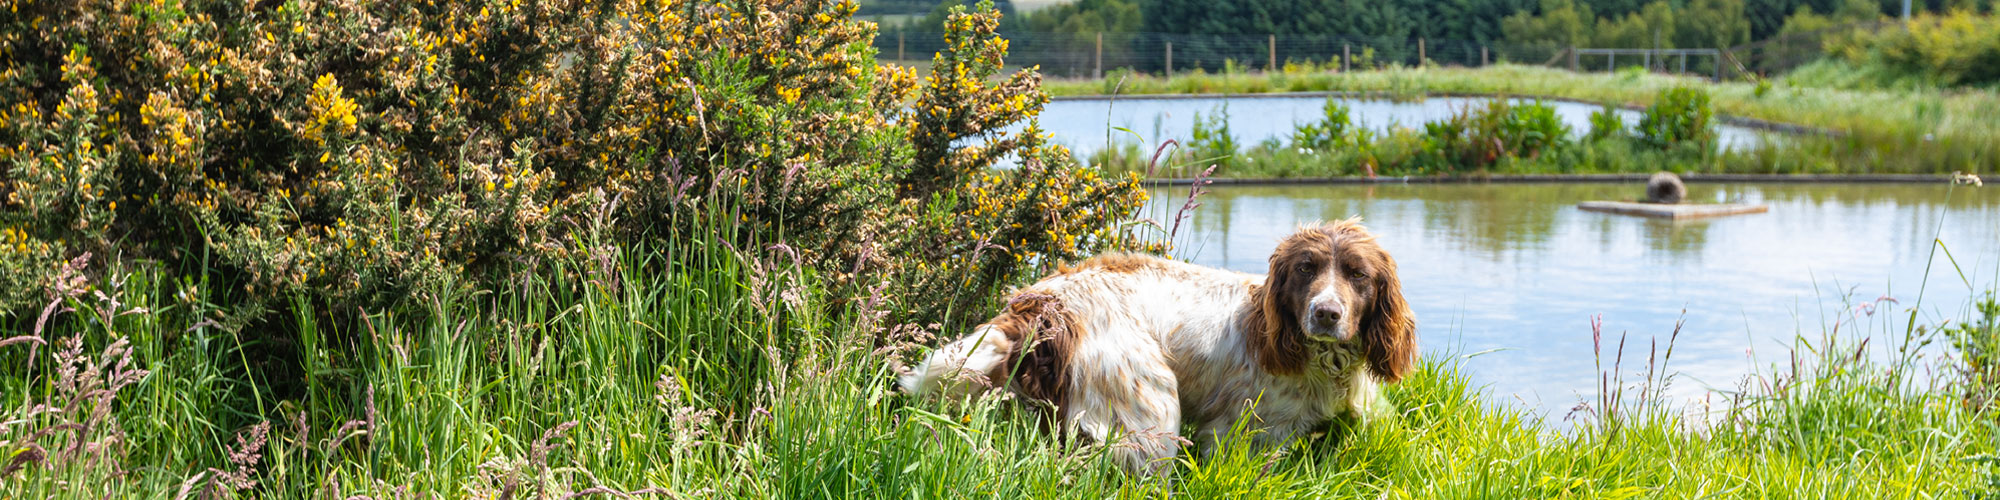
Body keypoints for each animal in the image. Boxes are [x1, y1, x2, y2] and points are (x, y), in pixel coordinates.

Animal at [900, 218, 1416, 472]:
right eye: (1306, 269)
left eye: (1357, 275)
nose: (1326, 313)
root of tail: (1042, 305)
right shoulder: (1242, 432)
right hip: (1150, 411)